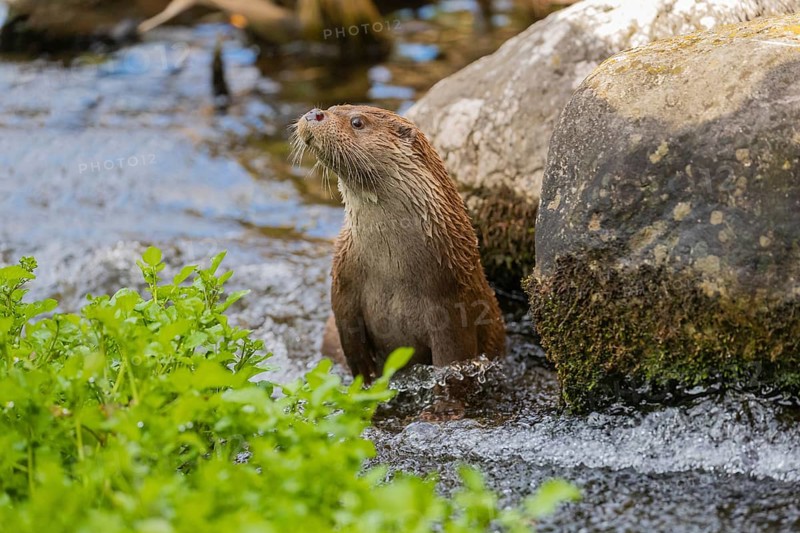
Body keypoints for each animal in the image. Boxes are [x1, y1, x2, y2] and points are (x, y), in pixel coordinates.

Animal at [293, 105, 505, 381]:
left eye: (357, 122)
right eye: (333, 108)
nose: (314, 113)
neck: (391, 268)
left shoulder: (455, 312)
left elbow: (451, 366)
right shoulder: (343, 287)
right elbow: (352, 347)